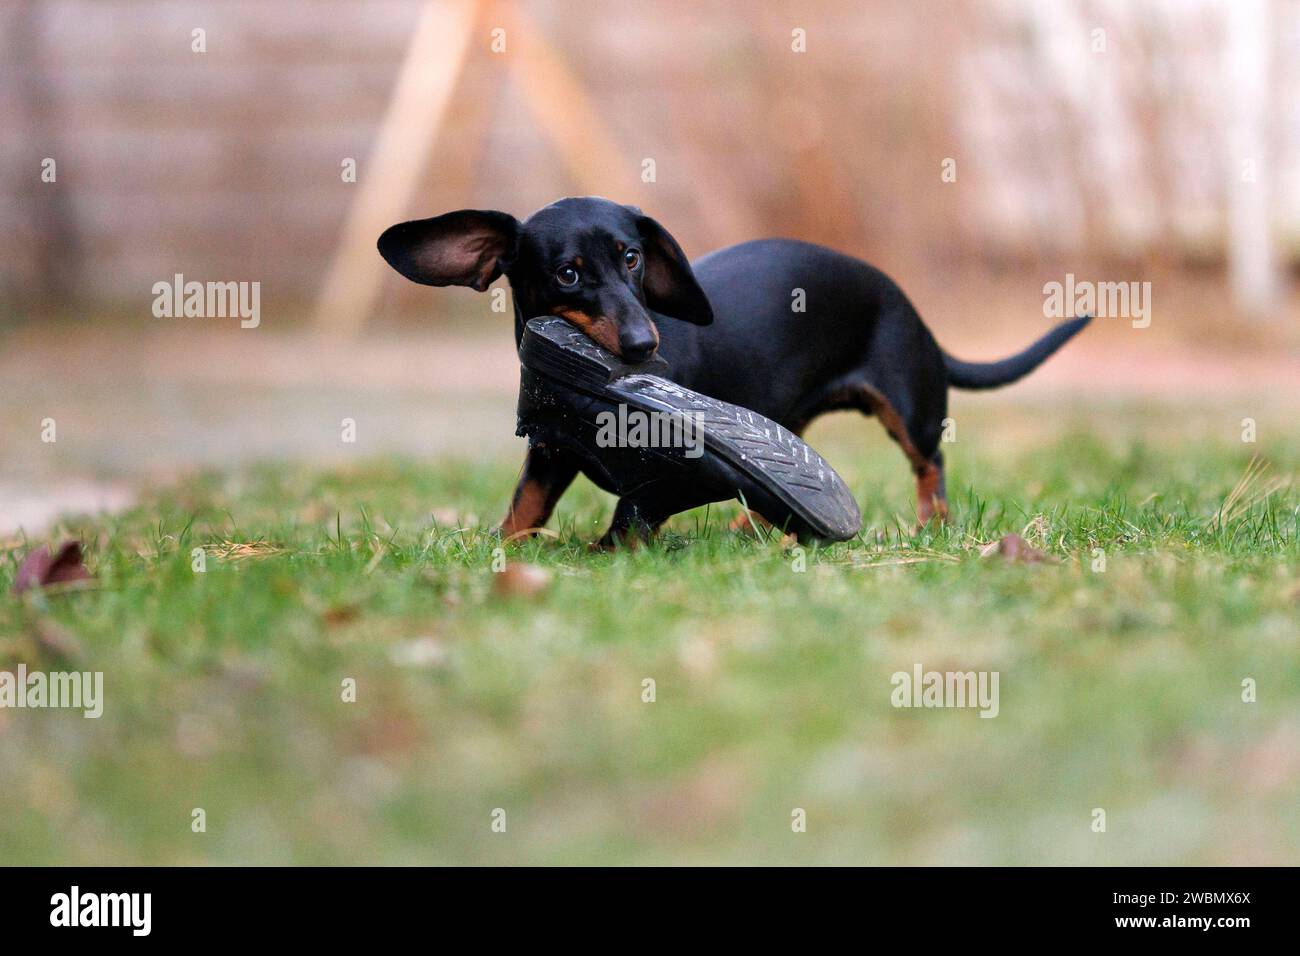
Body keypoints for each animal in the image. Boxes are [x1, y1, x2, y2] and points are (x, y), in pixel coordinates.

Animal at [379, 197, 1092, 541]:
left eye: (633, 257)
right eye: (568, 274)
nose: (642, 344)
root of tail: (917, 316)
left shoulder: (665, 480)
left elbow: (628, 521)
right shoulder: (552, 454)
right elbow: (525, 506)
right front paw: (499, 547)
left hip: (910, 408)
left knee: (930, 465)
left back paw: (930, 526)